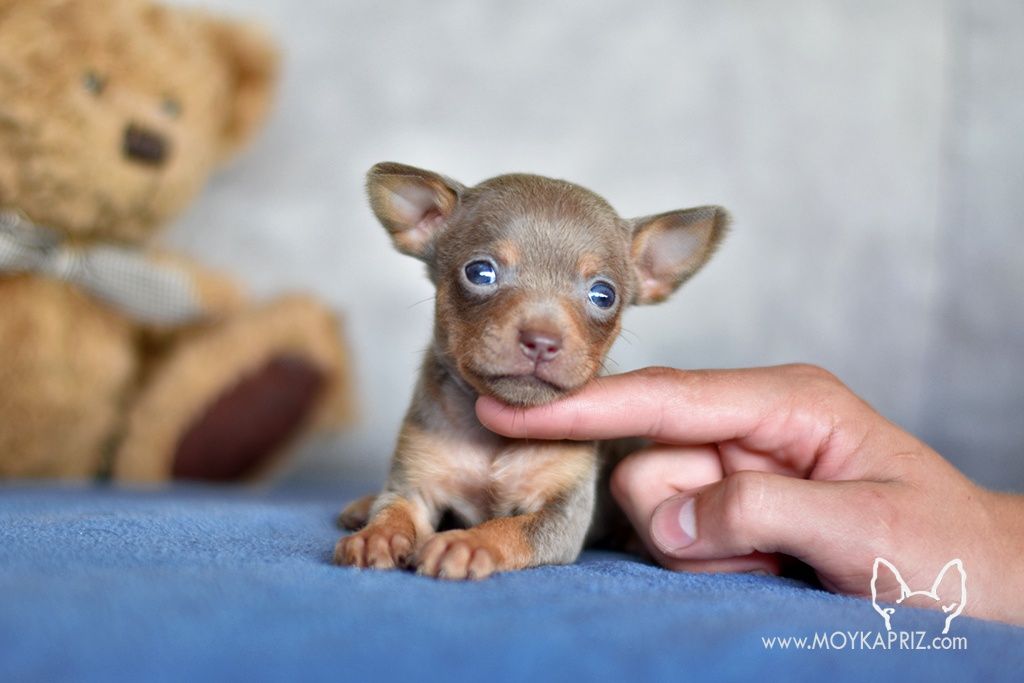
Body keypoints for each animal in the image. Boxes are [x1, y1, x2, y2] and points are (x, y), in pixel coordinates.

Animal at [331, 162, 724, 581]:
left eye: (604, 296)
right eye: (480, 273)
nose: (541, 340)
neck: (495, 440)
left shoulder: (561, 515)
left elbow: (510, 527)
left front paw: (468, 542)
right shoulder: (416, 485)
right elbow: (396, 509)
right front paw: (377, 535)